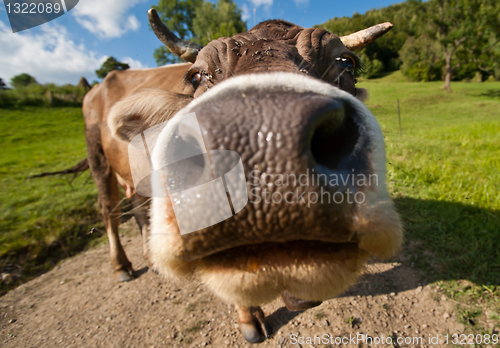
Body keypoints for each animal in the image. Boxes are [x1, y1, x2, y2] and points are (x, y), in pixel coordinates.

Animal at [83, 9, 402, 344]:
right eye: (196, 76)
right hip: (98, 161)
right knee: (109, 211)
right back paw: (122, 266)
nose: (268, 138)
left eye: (346, 63)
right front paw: (249, 317)